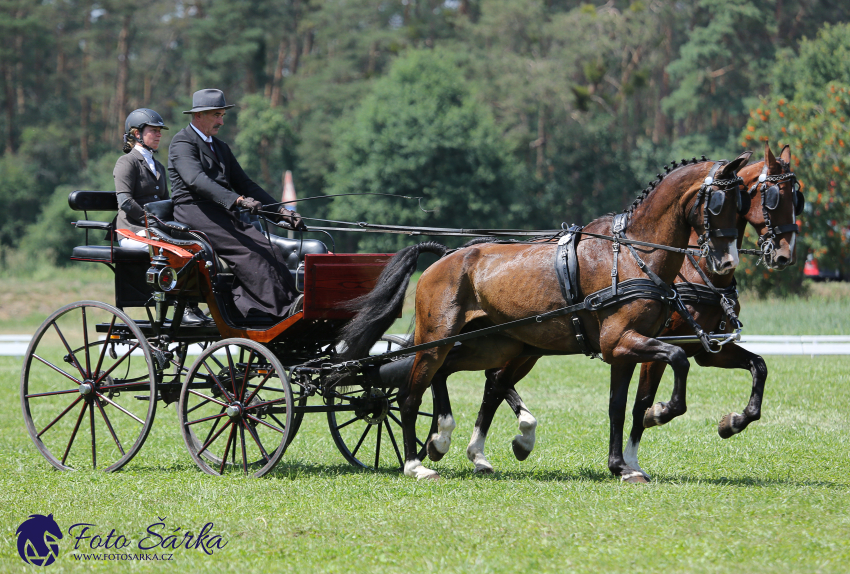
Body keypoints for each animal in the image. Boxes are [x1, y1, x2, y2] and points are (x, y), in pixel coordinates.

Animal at [338, 152, 748, 482]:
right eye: (717, 204)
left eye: (743, 205)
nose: (726, 262)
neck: (632, 256)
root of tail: (445, 257)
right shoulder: (622, 341)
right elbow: (676, 361)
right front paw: (661, 413)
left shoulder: (626, 348)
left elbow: (619, 405)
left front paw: (623, 465)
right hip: (436, 339)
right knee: (410, 395)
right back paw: (416, 464)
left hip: (491, 345)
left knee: (453, 376)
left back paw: (446, 440)